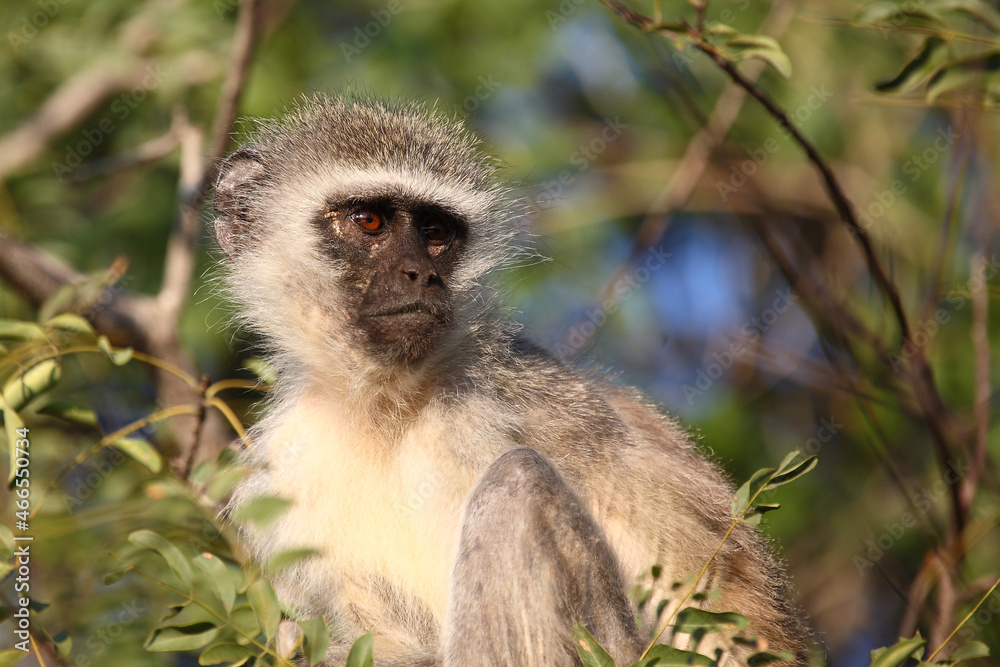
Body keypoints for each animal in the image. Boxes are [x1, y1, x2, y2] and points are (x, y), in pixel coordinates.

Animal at [213, 93, 818, 666]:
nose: (422, 275)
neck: (384, 405)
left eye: (436, 232)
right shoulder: (286, 468)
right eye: (369, 221)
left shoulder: (513, 408)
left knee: (518, 484)